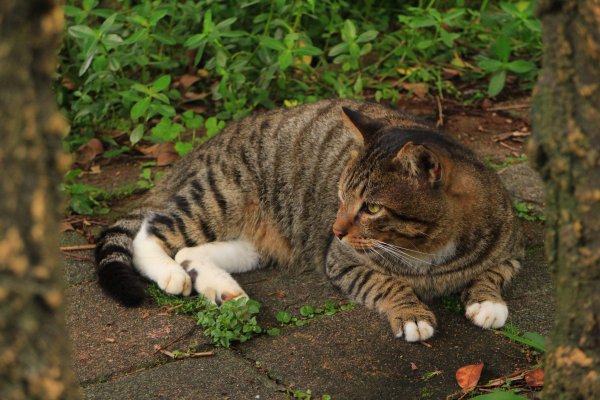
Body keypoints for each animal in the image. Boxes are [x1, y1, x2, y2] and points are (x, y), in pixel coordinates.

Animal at [94, 98, 520, 342]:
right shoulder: (344, 261)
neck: (427, 251)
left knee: (190, 251)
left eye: (371, 208)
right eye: (341, 196)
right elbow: (387, 284)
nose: (336, 229)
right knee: (151, 231)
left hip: (261, 239)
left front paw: (487, 301)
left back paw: (224, 291)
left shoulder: (513, 250)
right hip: (221, 196)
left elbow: (494, 272)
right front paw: (412, 313)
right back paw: (171, 274)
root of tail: (211, 141)